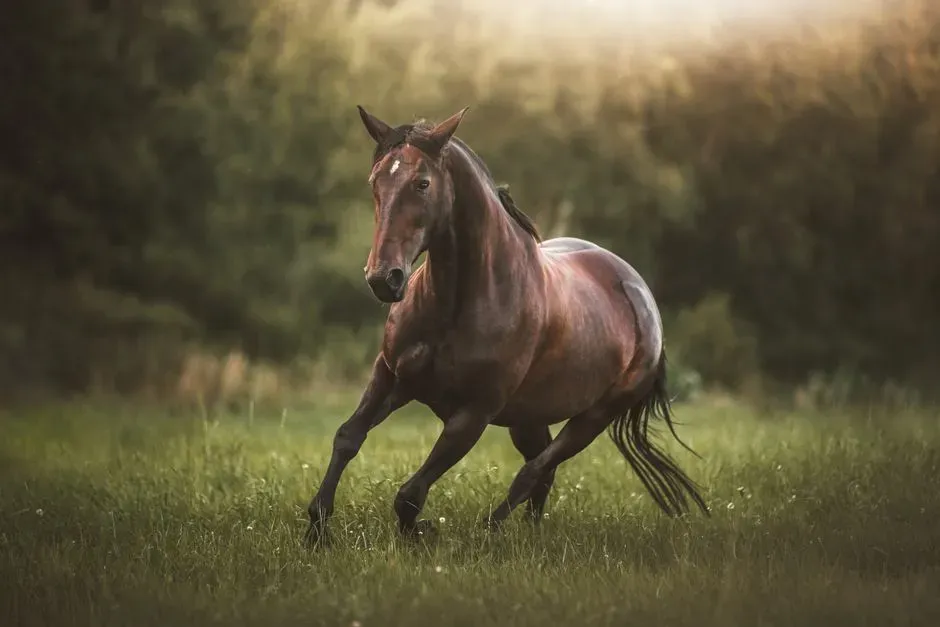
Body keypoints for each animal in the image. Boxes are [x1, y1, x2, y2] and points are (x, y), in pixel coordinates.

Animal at [305, 106, 709, 545]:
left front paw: (422, 532)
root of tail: (642, 297)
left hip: (593, 418)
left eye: (422, 183)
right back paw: (529, 532)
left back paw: (492, 531)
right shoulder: (392, 376)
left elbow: (410, 495)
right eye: (375, 181)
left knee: (535, 471)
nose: (384, 278)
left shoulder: (474, 413)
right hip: (528, 418)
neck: (458, 302)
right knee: (541, 475)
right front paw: (317, 528)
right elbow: (348, 437)